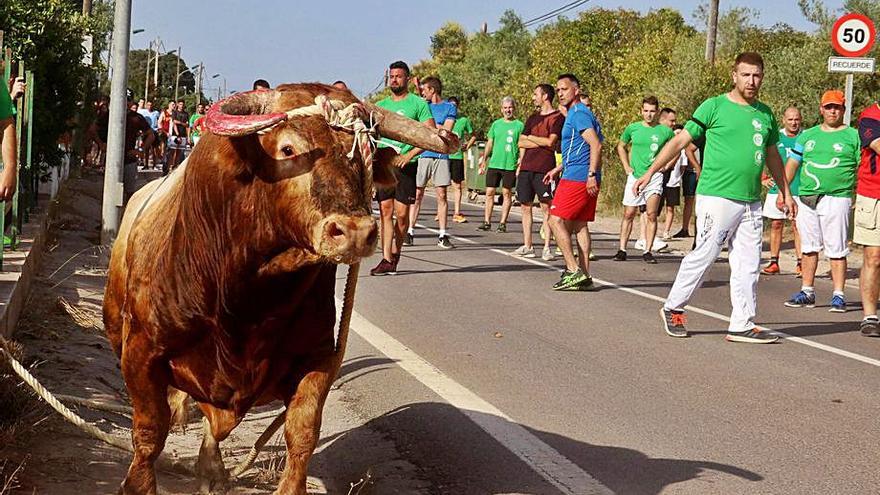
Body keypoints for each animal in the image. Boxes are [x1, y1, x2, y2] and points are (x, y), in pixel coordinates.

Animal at [103, 83, 458, 494]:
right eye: (288, 149)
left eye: (361, 152)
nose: (355, 231)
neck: (245, 297)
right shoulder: (140, 352)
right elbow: (149, 431)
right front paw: (138, 483)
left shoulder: (318, 358)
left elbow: (302, 433)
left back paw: (211, 469)